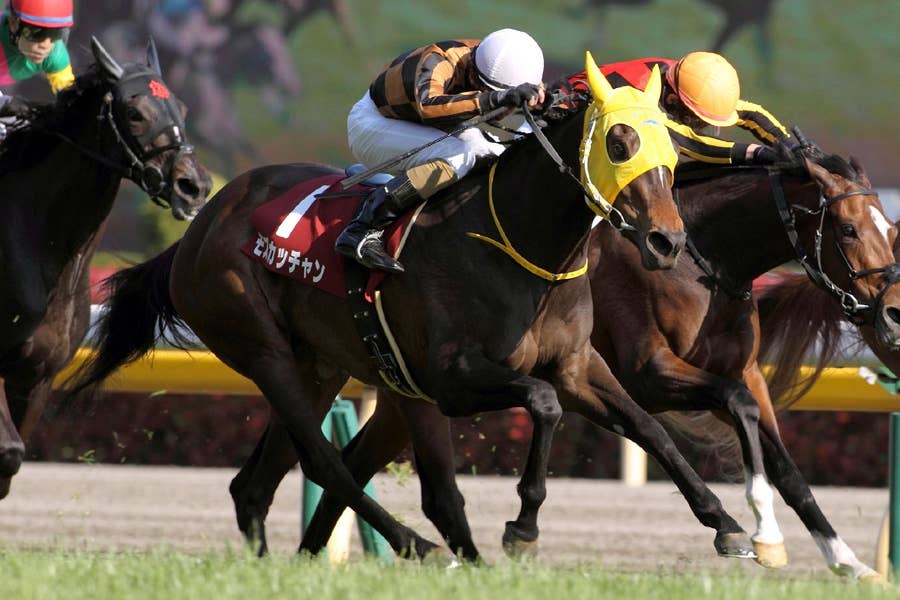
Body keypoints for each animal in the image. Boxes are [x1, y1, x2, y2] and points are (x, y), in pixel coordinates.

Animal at [0, 38, 211, 500]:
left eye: (182, 108)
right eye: (134, 112)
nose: (195, 186)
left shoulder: (37, 375)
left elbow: (11, 463)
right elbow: (8, 451)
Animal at [70, 60, 764, 562]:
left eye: (670, 149)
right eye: (619, 142)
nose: (667, 242)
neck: (523, 243)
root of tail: (200, 225)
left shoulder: (576, 365)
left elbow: (649, 429)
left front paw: (728, 525)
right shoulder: (450, 380)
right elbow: (542, 405)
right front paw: (522, 528)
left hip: (318, 365)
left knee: (258, 483)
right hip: (260, 347)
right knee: (328, 463)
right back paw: (422, 548)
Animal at [229, 149, 896, 582]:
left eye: (889, 227)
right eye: (846, 228)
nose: (890, 310)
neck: (702, 256)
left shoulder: (745, 370)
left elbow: (782, 460)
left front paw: (843, 558)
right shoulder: (650, 375)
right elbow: (731, 409)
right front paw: (763, 532)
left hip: (405, 388)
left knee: (351, 460)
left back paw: (314, 554)